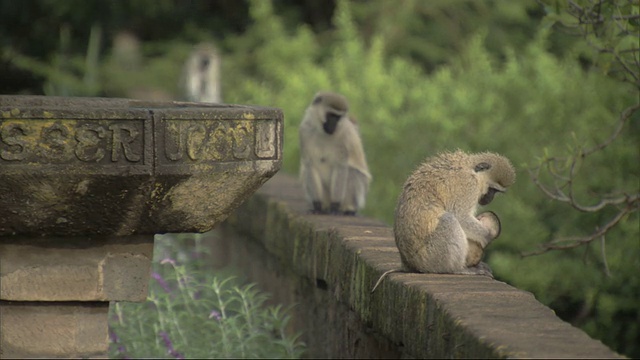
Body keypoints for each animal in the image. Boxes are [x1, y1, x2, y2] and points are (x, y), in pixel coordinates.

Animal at [370, 149, 516, 292]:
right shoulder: (468, 185)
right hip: (430, 258)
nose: (489, 199)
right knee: (449, 220)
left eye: (496, 192)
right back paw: (457, 269)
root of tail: (408, 264)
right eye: (492, 189)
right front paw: (488, 236)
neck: (470, 169)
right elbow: (460, 216)